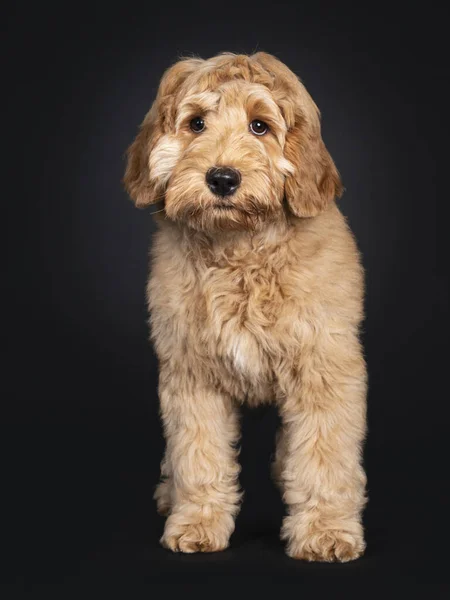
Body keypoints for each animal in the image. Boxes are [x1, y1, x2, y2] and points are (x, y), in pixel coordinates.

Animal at [122, 52, 366, 564]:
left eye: (260, 126)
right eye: (196, 123)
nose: (222, 178)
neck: (240, 250)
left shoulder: (324, 368)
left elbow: (325, 455)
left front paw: (326, 530)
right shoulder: (191, 373)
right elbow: (198, 454)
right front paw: (196, 521)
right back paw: (169, 493)